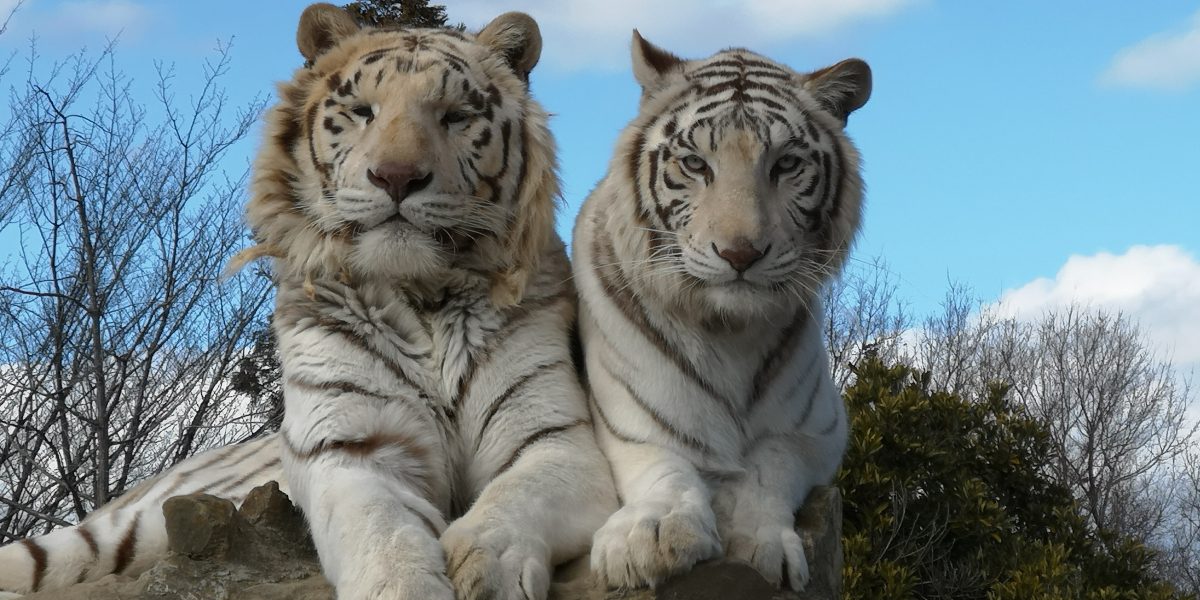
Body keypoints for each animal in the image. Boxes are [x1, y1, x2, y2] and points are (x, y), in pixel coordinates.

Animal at [0, 5, 614, 600]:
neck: (424, 297)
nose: (396, 177)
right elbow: (382, 531)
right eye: (364, 111)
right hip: (109, 532)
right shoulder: (348, 447)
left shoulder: (553, 440)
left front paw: (488, 570)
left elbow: (512, 502)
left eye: (456, 116)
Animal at [573, 32, 873, 590]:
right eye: (695, 164)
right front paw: (651, 535)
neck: (728, 331)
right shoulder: (632, 419)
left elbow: (768, 466)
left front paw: (761, 542)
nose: (740, 254)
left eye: (786, 165)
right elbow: (662, 465)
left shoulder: (817, 429)